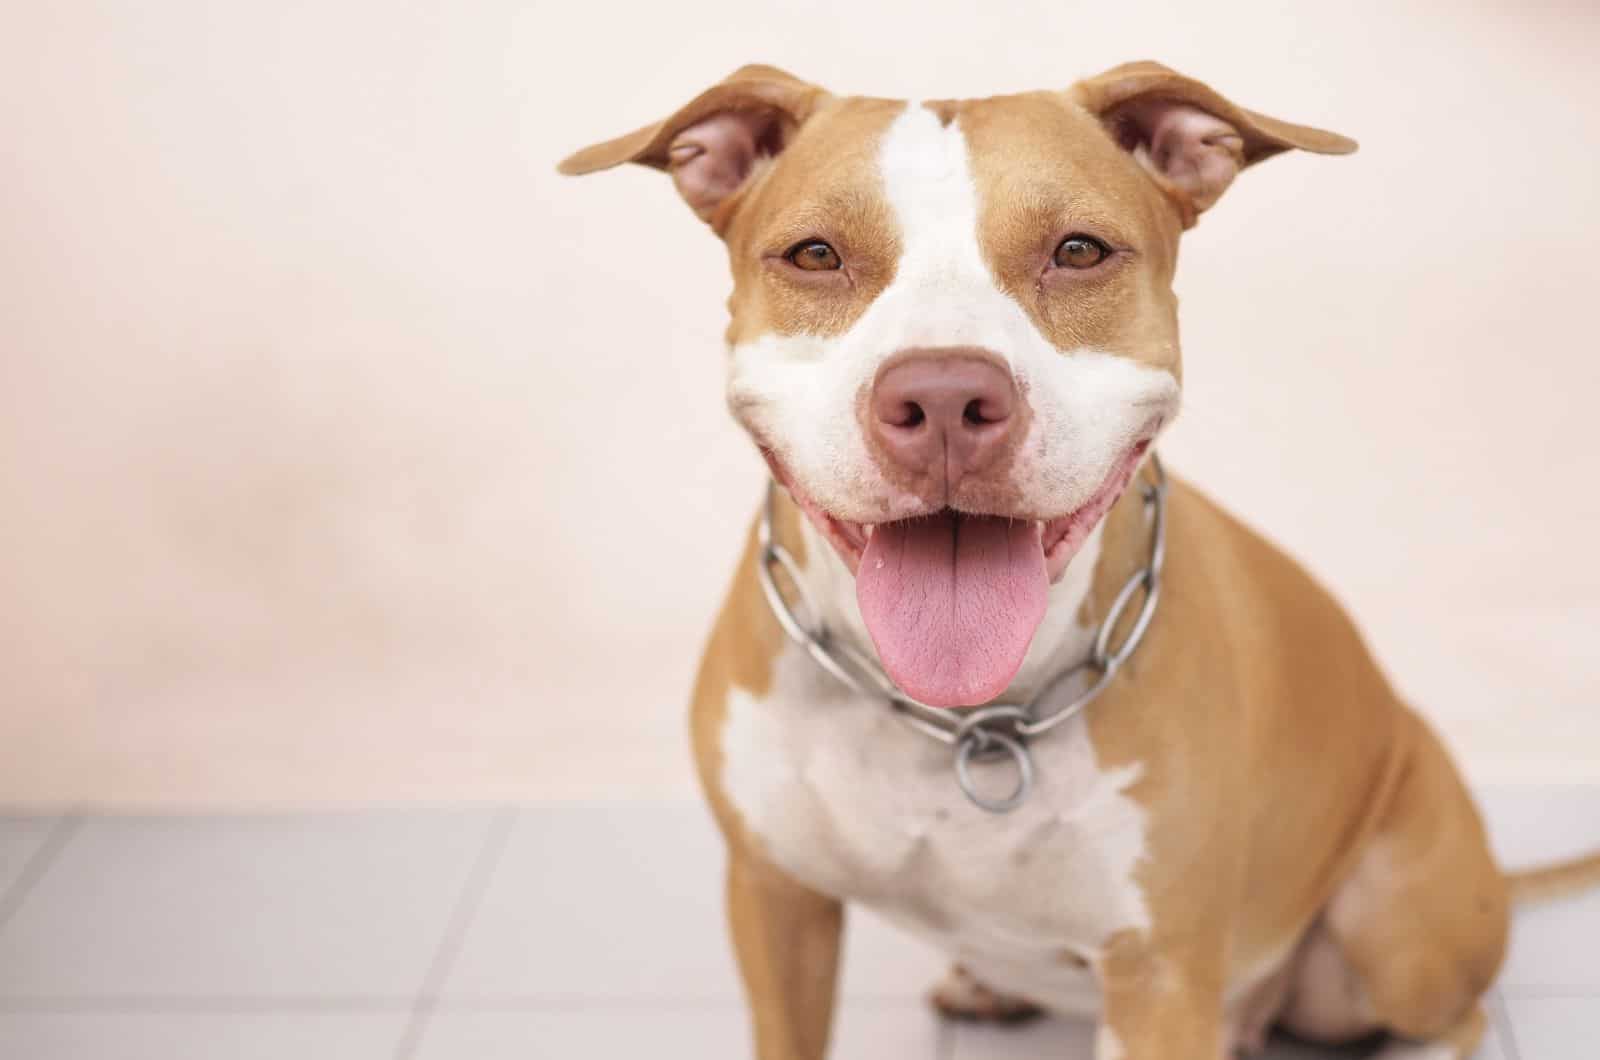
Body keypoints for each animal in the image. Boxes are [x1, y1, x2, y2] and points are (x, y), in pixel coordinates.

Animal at [556, 64, 1593, 1060]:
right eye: (815, 254)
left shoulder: (1160, 974)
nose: (944, 397)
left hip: (1393, 928)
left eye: (1080, 251)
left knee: (1450, 1015)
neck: (964, 722)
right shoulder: (774, 901)